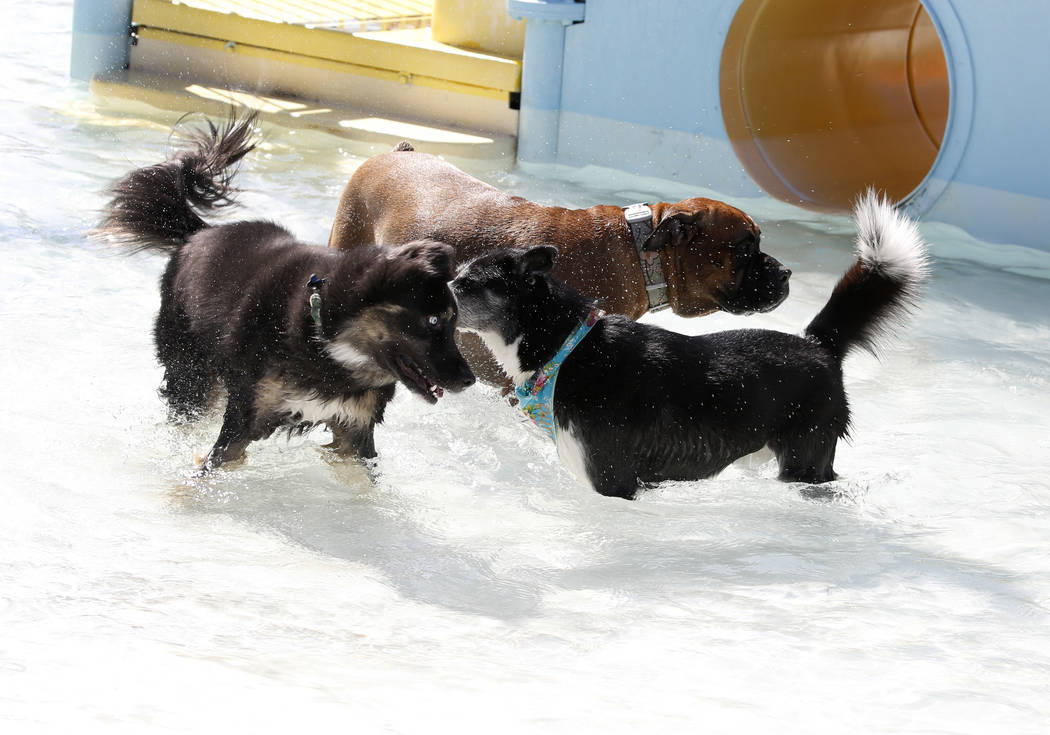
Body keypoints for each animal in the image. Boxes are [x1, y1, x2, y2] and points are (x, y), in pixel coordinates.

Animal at [98, 114, 476, 470]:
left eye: (454, 324)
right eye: (432, 321)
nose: (470, 380)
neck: (326, 338)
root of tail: (198, 234)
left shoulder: (354, 433)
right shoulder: (242, 420)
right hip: (191, 372)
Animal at [451, 188, 928, 499]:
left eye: (465, 284)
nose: (434, 293)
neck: (568, 348)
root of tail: (817, 344)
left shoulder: (614, 481)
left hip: (806, 458)